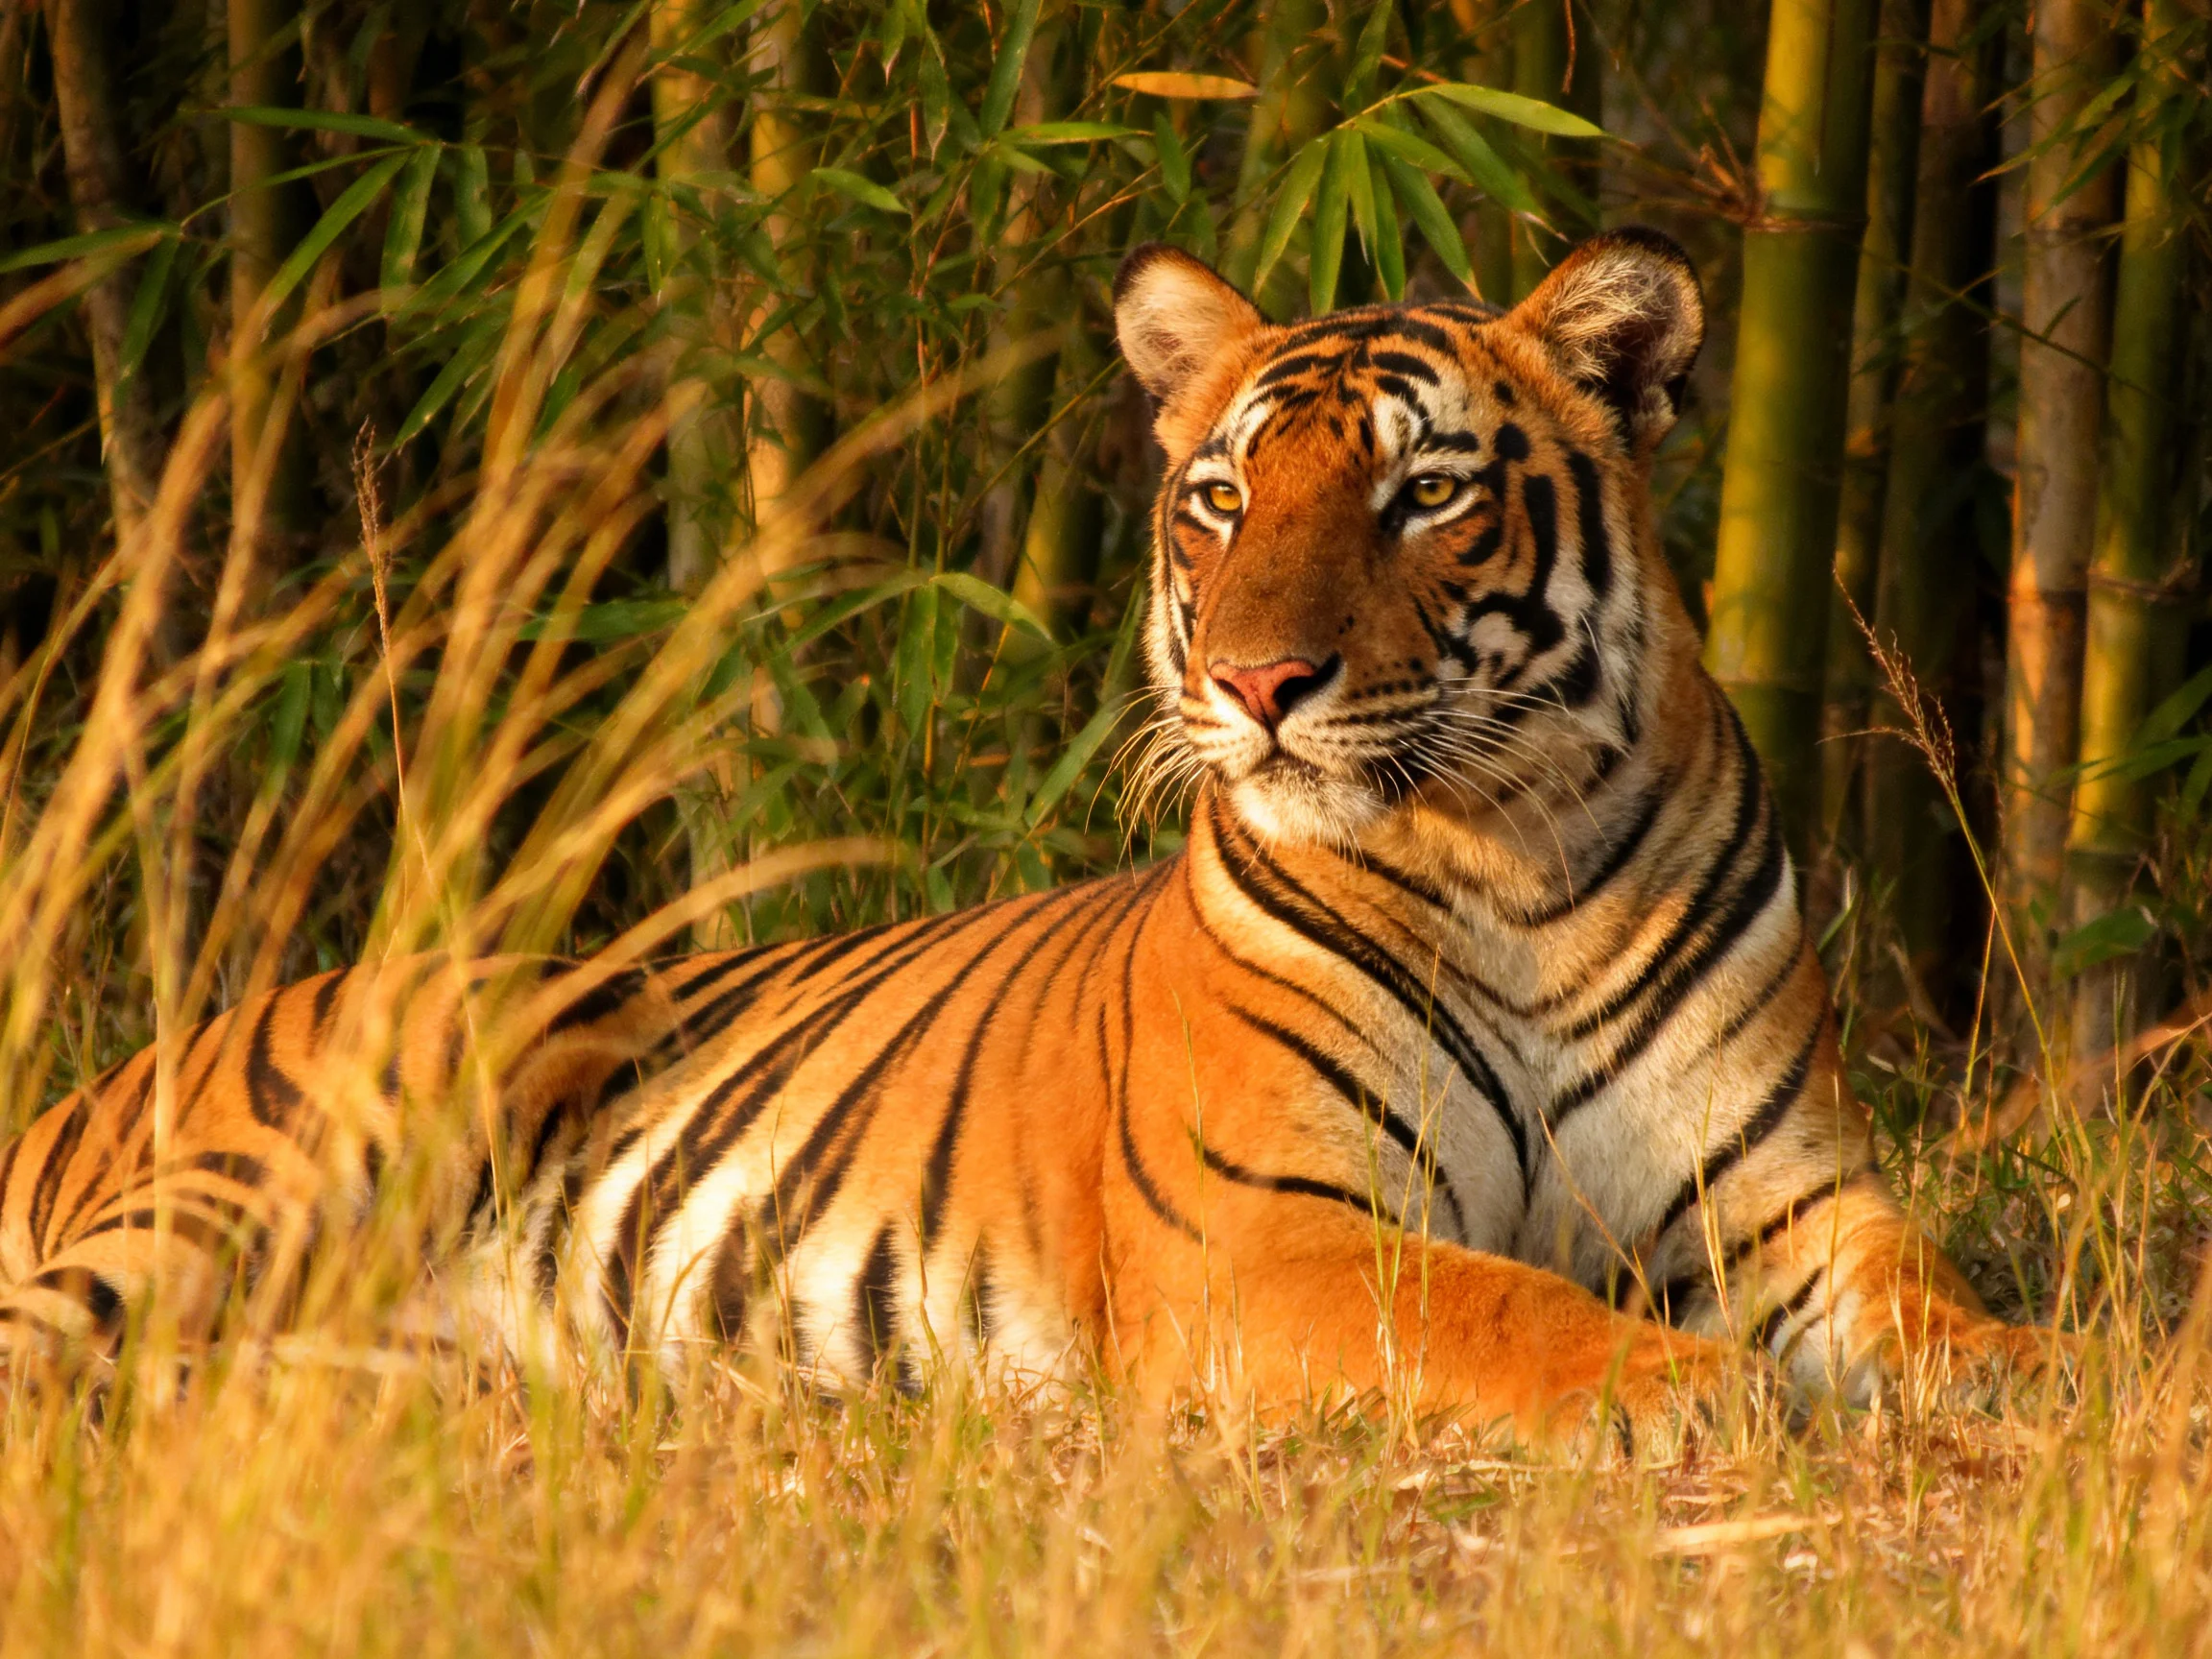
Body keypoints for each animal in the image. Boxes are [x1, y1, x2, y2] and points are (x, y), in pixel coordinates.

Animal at [0, 229, 2060, 1450]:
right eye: (1220, 497)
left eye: (1421, 494)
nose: (1257, 683)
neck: (1514, 859)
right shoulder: (1264, 1228)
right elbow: (1503, 1306)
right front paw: (1689, 1387)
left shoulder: (1783, 1192)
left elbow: (1925, 1293)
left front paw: (2034, 1375)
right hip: (360, 1108)